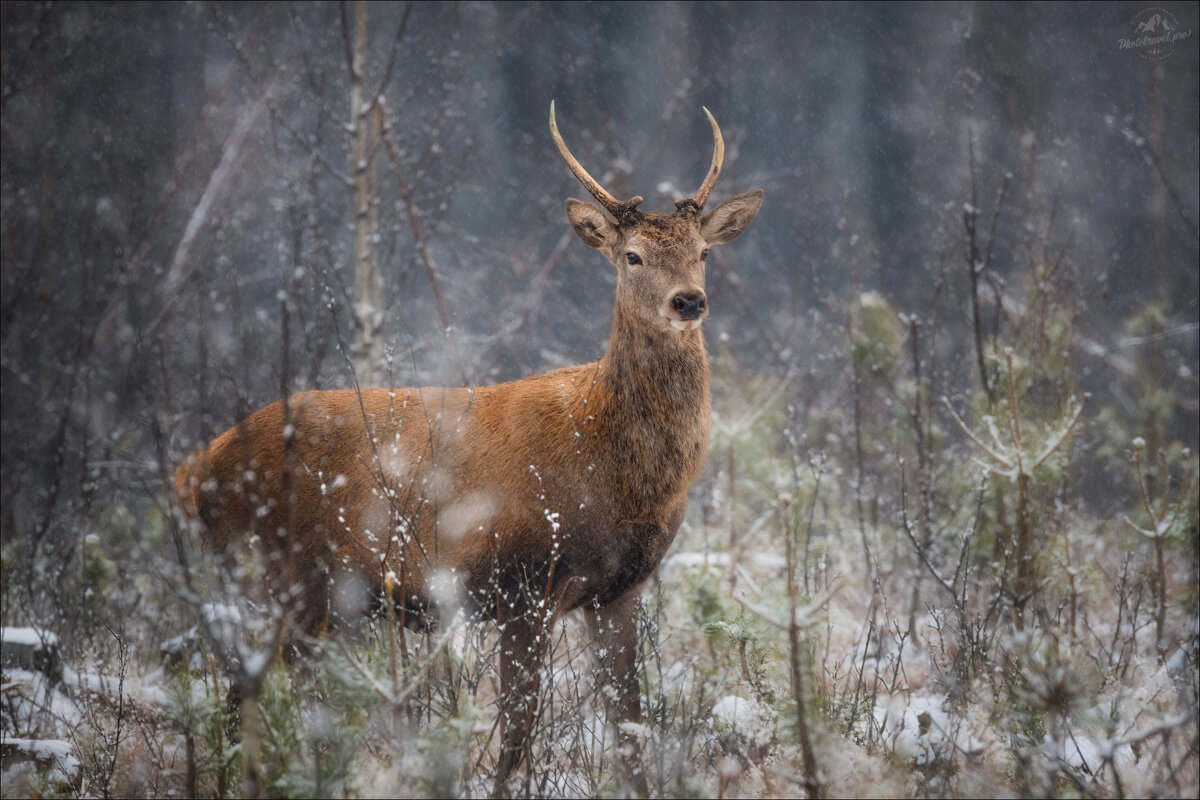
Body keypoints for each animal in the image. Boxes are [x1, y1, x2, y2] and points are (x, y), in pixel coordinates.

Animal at [175, 103, 763, 796]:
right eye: (633, 256)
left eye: (703, 253)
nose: (689, 300)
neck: (613, 467)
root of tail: (195, 469)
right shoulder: (522, 583)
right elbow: (517, 733)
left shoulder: (620, 591)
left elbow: (631, 730)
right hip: (272, 575)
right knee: (248, 695)